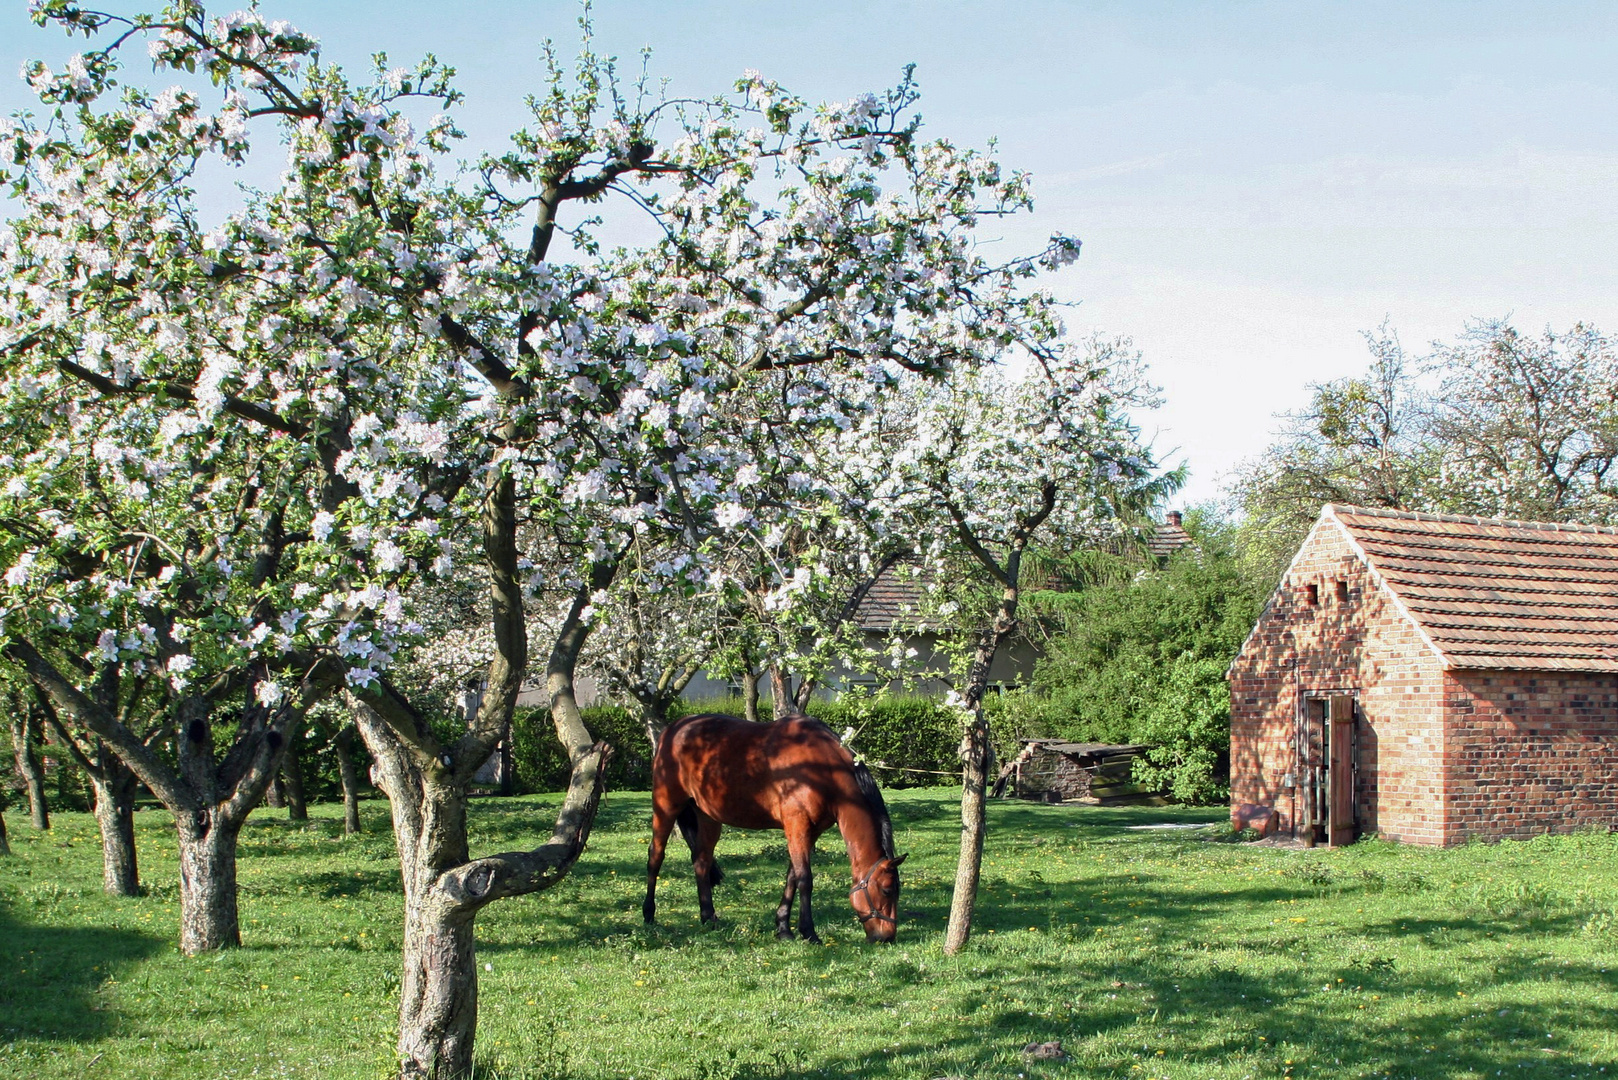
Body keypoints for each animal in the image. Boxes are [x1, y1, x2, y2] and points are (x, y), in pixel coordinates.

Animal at [643, 712, 906, 939]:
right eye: (886, 890)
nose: (887, 937)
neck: (822, 768)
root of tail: (672, 730)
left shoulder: (809, 831)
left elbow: (792, 877)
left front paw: (783, 928)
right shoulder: (797, 825)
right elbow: (804, 879)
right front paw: (809, 932)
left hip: (708, 816)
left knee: (702, 861)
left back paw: (709, 918)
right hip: (666, 805)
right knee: (656, 855)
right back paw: (649, 914)